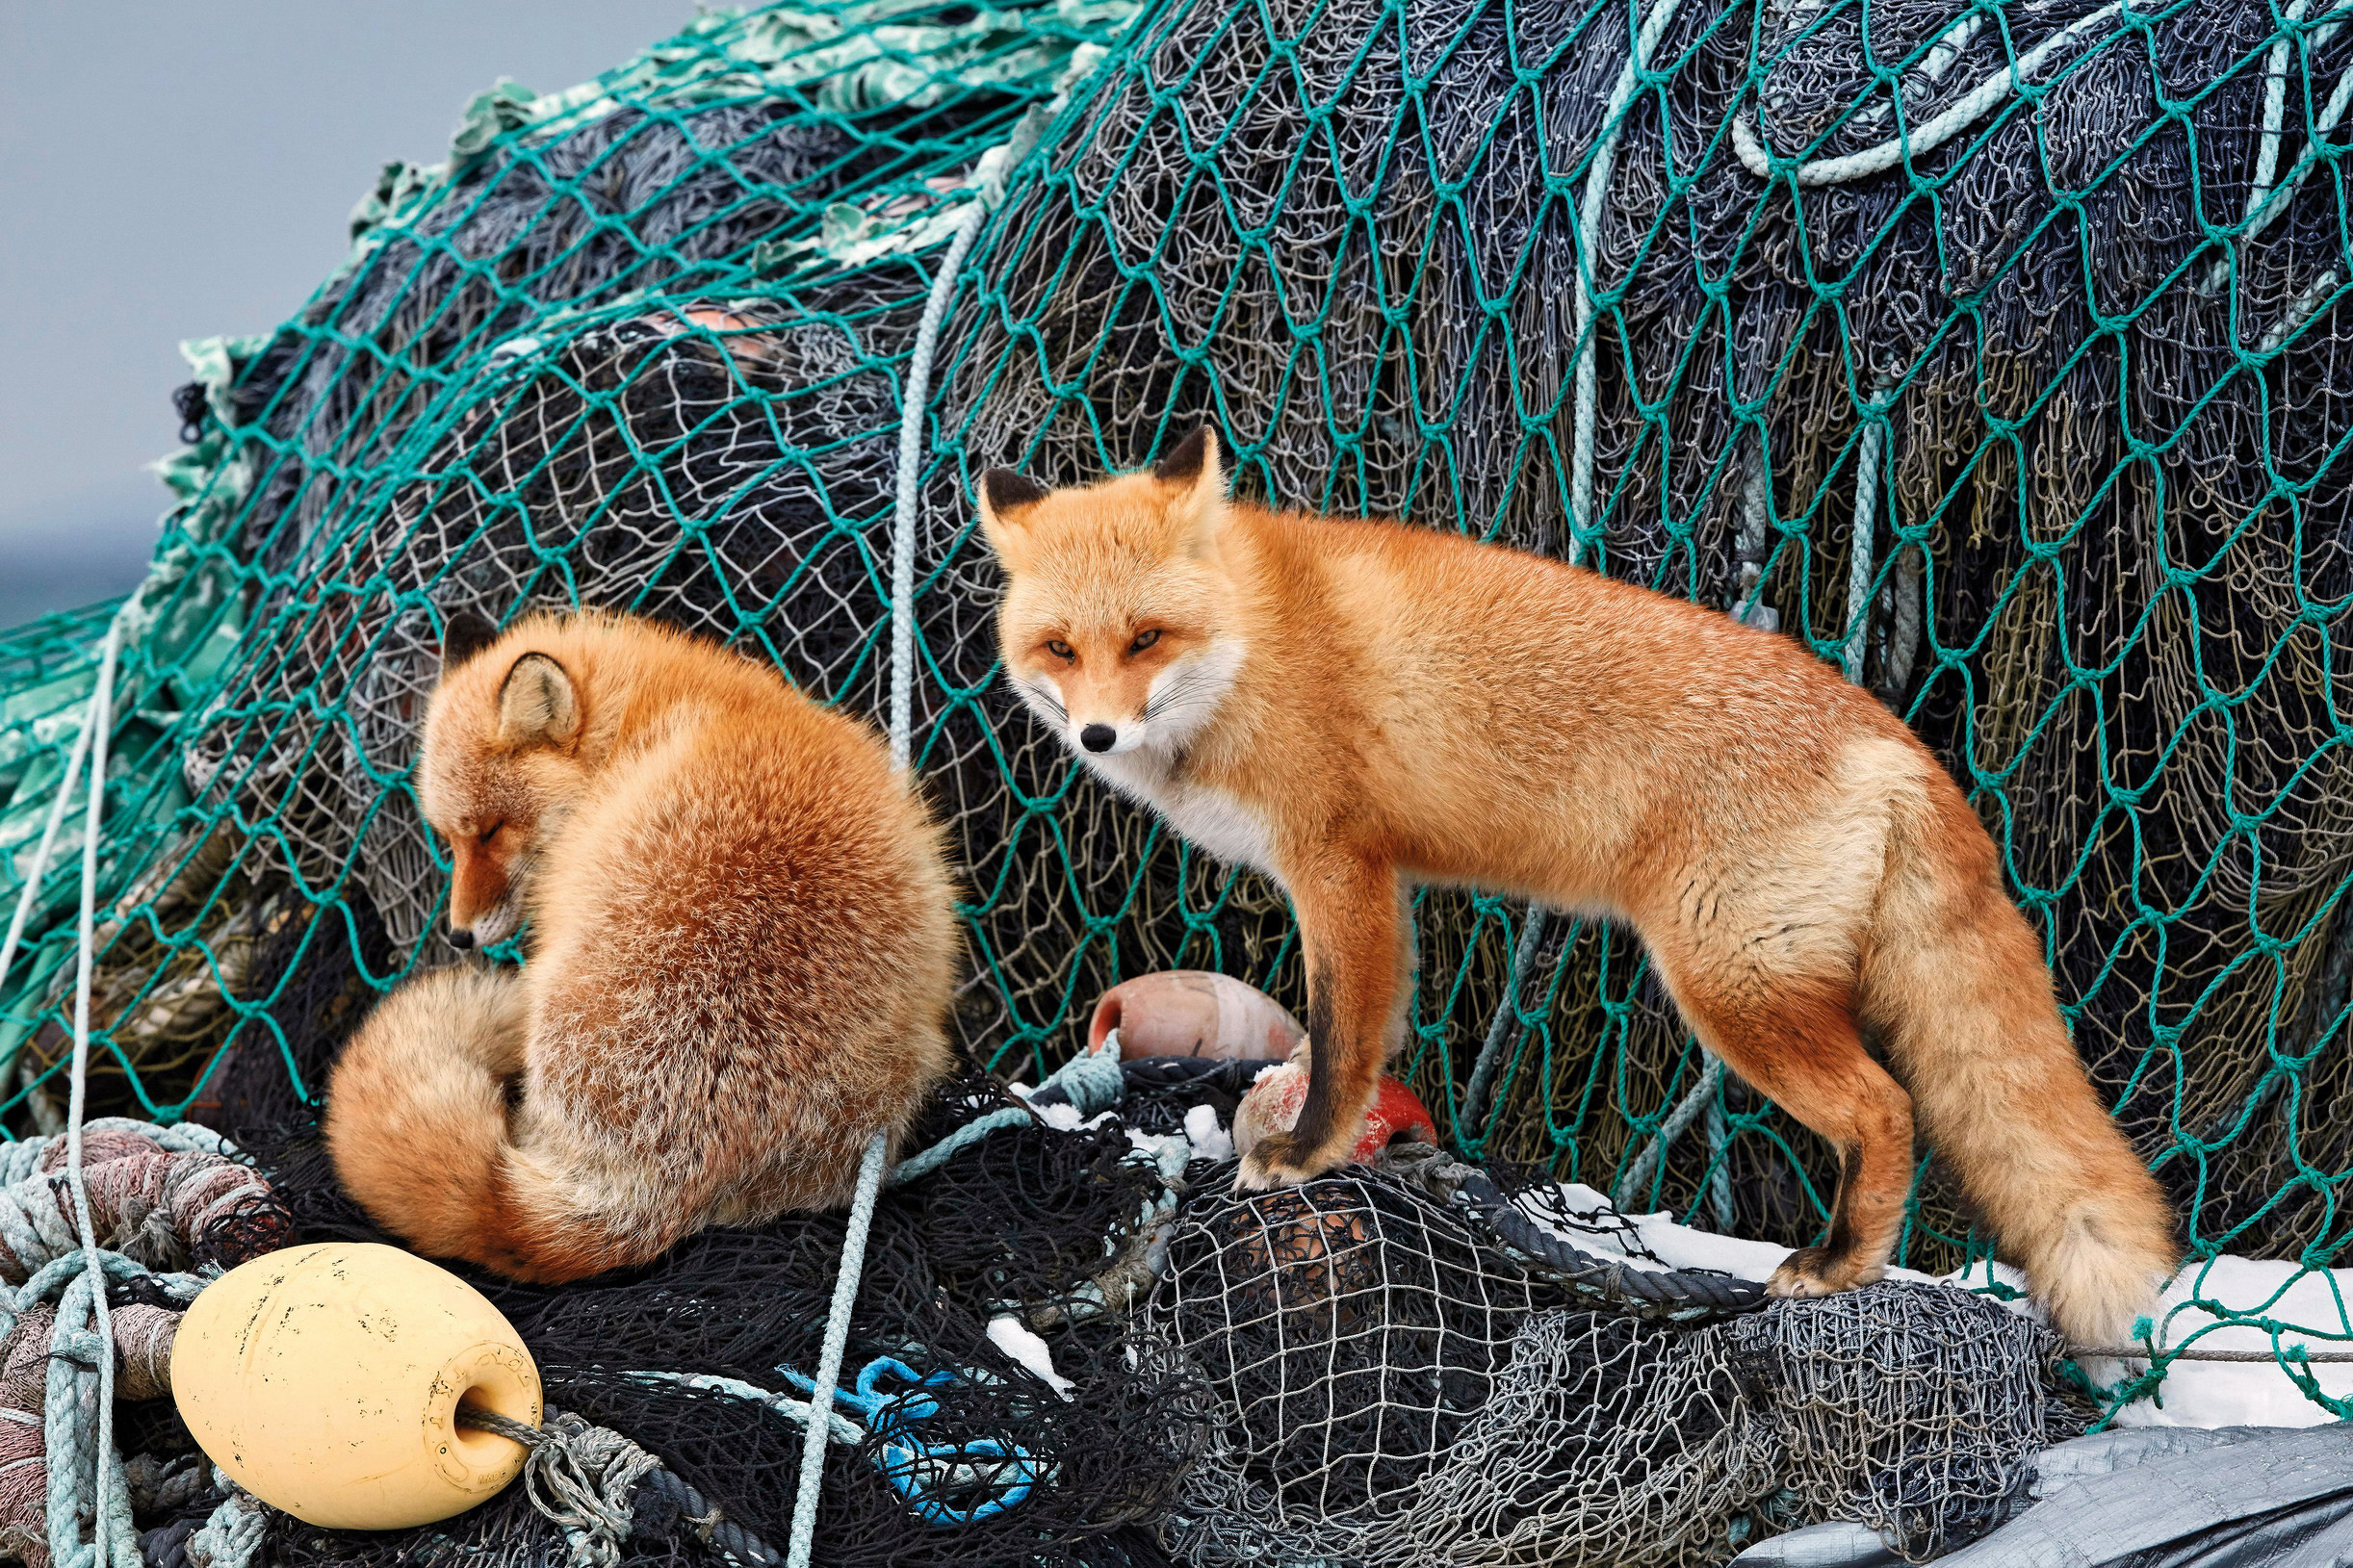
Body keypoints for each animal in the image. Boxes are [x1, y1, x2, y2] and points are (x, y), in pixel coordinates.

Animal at [969, 432, 2164, 1353]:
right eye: (1060, 649)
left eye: (1146, 639)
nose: (1096, 734)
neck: (1251, 650)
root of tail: (1892, 737)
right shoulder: (1380, 880)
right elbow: (1362, 1031)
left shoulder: (1336, 866)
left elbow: (1344, 1036)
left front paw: (1306, 1151)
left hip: (1733, 993)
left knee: (1887, 1108)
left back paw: (1838, 1265)